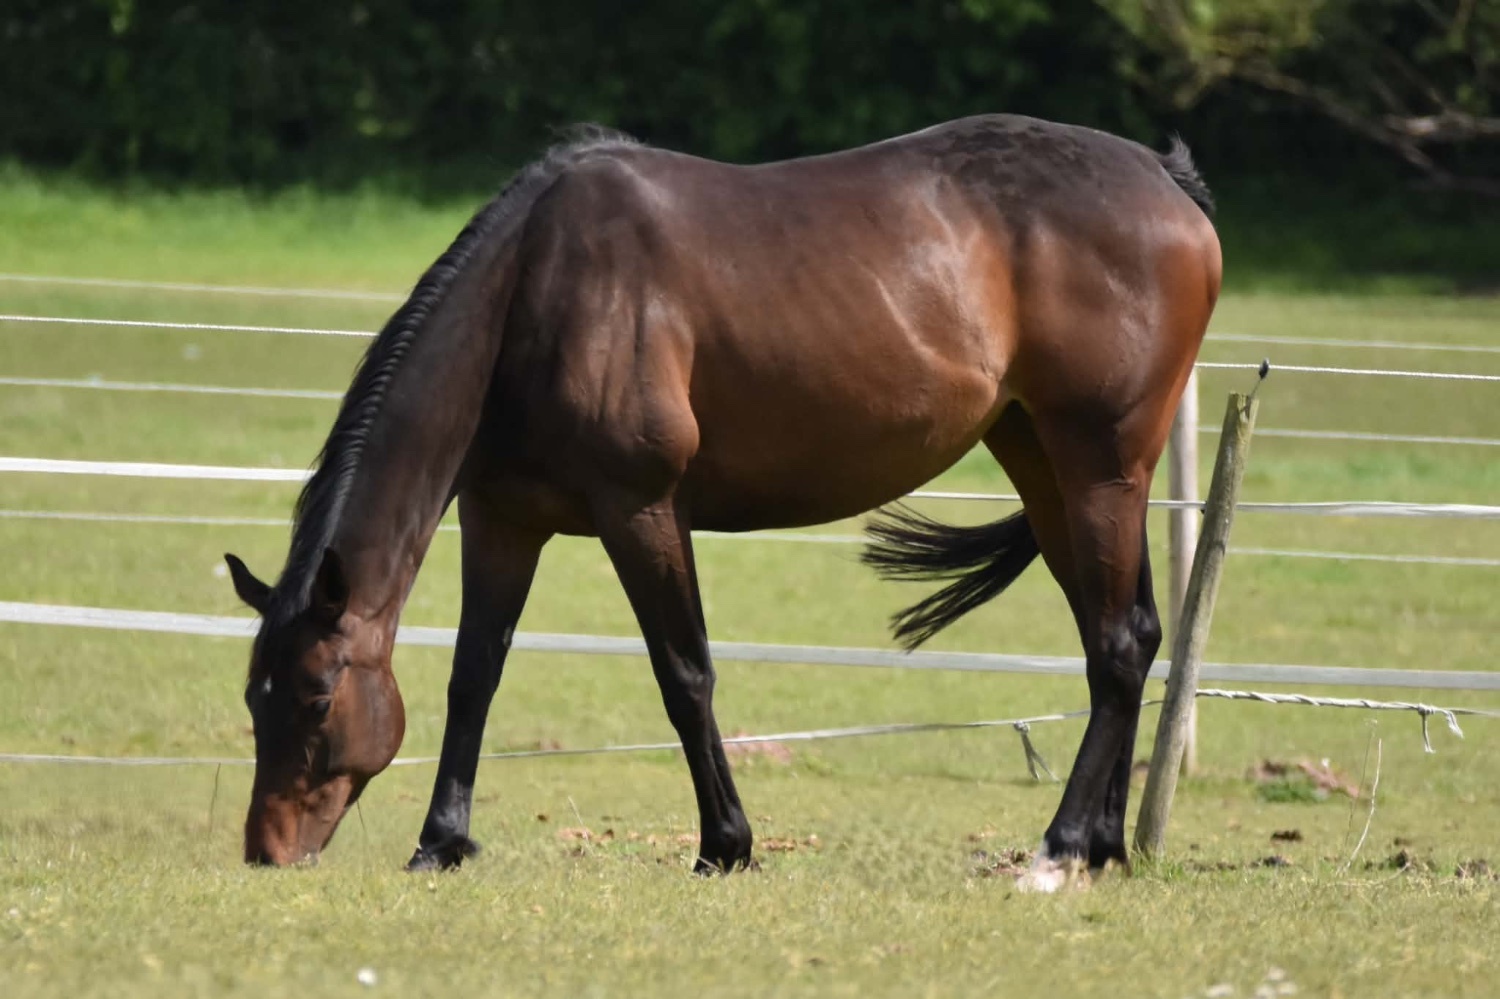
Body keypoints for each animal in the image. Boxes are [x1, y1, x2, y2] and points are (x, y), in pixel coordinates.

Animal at [225, 114, 1220, 892]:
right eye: (252, 697)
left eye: (316, 695)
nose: (267, 849)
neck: (537, 293)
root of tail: (1162, 177)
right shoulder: (504, 520)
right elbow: (475, 676)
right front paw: (440, 841)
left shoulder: (641, 511)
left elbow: (685, 674)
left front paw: (725, 845)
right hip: (1043, 464)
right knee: (1121, 638)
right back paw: (1103, 846)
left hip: (1100, 469)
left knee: (1119, 643)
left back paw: (1059, 848)